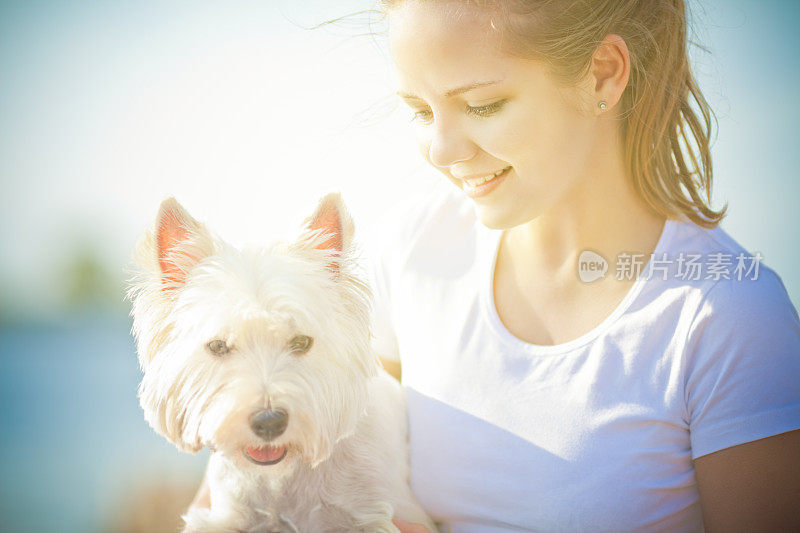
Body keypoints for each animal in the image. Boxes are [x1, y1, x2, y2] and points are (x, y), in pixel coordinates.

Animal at [127, 192, 434, 532]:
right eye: (218, 346)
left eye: (301, 342)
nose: (269, 421)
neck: (283, 477)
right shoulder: (226, 514)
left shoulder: (378, 515)